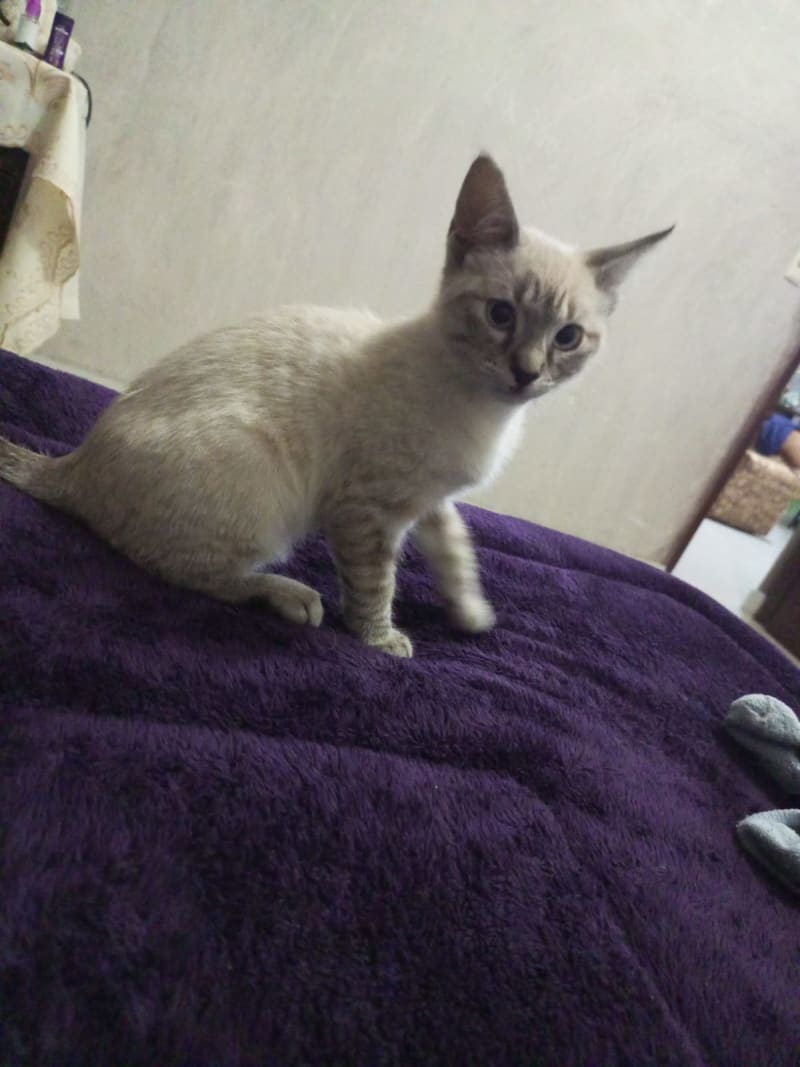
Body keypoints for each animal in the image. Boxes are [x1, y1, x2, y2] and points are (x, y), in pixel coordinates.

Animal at [0, 155, 671, 657]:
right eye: (500, 315)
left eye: (568, 338)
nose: (526, 372)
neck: (486, 412)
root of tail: (74, 463)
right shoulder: (366, 507)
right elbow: (377, 581)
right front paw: (381, 640)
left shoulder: (429, 499)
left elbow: (456, 549)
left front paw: (472, 611)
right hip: (262, 486)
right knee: (177, 568)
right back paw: (290, 594)